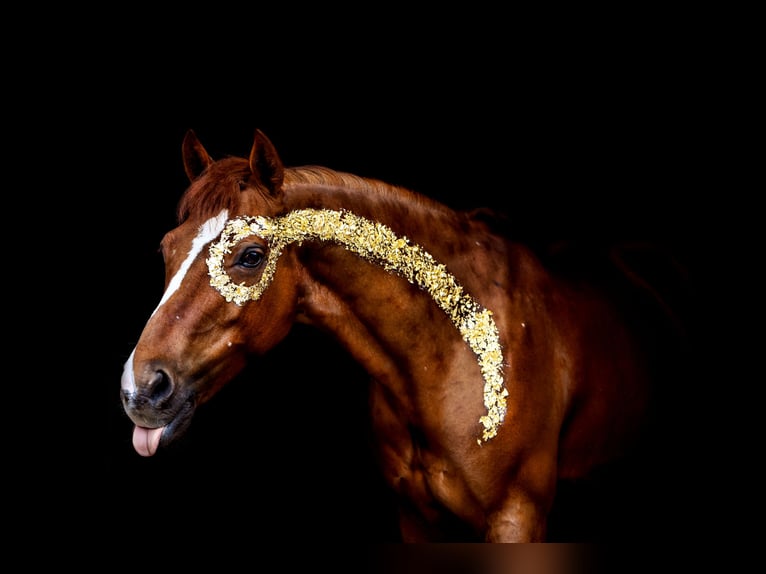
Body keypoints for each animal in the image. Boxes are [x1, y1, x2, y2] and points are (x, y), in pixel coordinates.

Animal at [121, 130, 688, 544]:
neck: (455, 358)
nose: (140, 390)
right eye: (166, 247)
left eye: (251, 256)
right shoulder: (413, 517)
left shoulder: (517, 519)